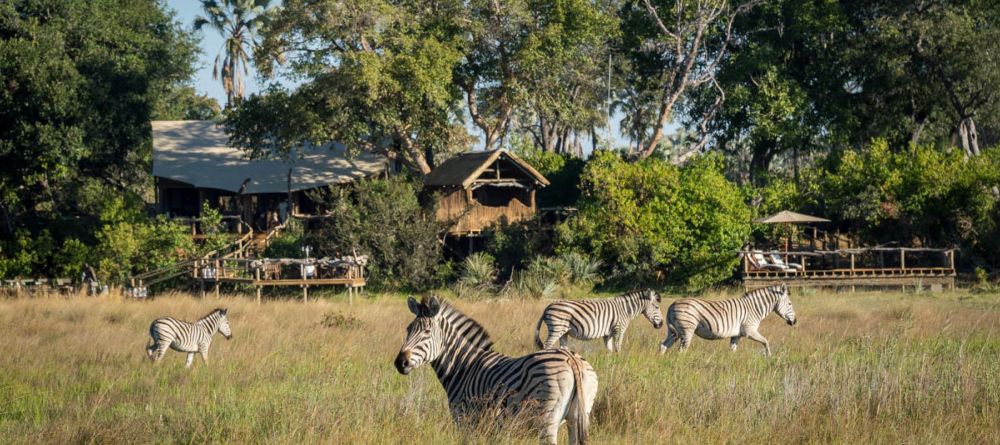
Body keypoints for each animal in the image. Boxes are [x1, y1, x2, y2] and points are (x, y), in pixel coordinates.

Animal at [396, 294, 600, 444]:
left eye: (426, 332)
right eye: (407, 329)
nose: (400, 363)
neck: (463, 367)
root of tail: (571, 359)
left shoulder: (465, 419)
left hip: (547, 419)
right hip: (579, 416)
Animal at [532, 288, 664, 354]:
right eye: (657, 307)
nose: (662, 324)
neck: (625, 310)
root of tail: (548, 306)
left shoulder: (608, 333)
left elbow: (609, 350)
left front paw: (610, 365)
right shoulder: (619, 329)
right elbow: (618, 348)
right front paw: (619, 363)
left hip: (564, 332)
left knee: (562, 346)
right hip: (557, 328)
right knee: (547, 345)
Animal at [656, 284, 796, 358]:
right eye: (790, 304)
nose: (795, 321)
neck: (754, 308)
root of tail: (673, 304)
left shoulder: (736, 335)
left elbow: (732, 350)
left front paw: (731, 365)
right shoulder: (749, 331)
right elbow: (766, 342)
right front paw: (769, 357)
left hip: (674, 332)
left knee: (663, 345)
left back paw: (661, 362)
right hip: (687, 330)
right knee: (681, 351)